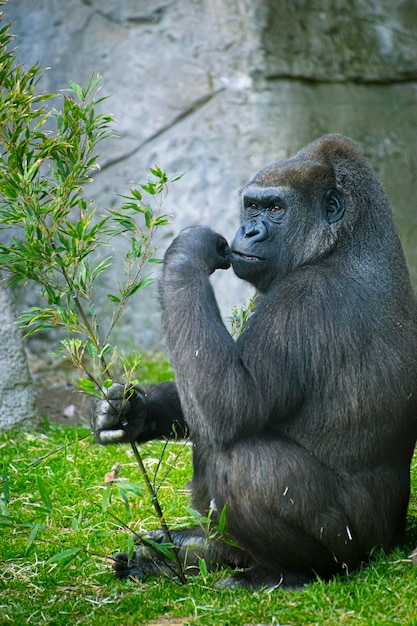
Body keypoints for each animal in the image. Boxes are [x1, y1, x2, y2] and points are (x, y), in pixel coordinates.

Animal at [90, 134, 416, 588]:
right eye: (252, 206)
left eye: (276, 209)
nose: (248, 230)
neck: (344, 241)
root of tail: (395, 537)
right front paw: (131, 411)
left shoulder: (305, 298)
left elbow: (231, 404)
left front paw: (187, 252)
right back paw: (189, 553)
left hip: (360, 548)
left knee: (240, 459)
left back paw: (289, 571)